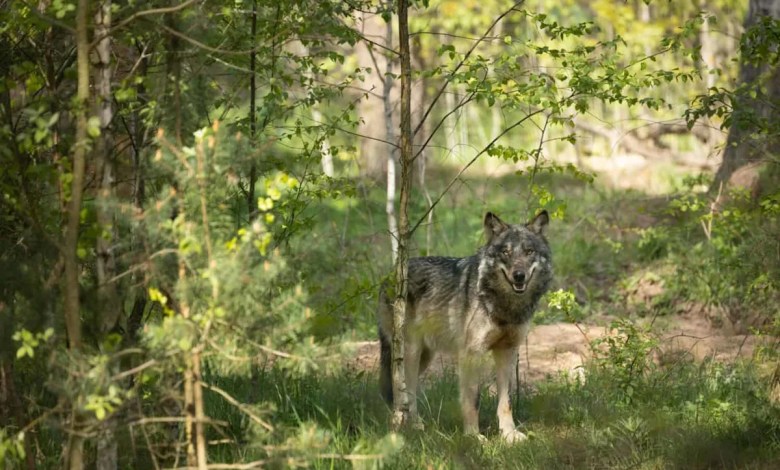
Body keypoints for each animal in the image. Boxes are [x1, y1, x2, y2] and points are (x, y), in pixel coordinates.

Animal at [377, 210, 552, 443]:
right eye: (505, 252)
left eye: (529, 251)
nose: (519, 276)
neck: (505, 306)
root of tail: (388, 275)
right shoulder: (471, 354)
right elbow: (472, 400)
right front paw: (473, 437)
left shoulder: (507, 352)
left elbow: (506, 401)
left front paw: (509, 435)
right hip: (410, 352)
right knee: (403, 389)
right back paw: (407, 425)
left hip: (425, 356)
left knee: (409, 389)